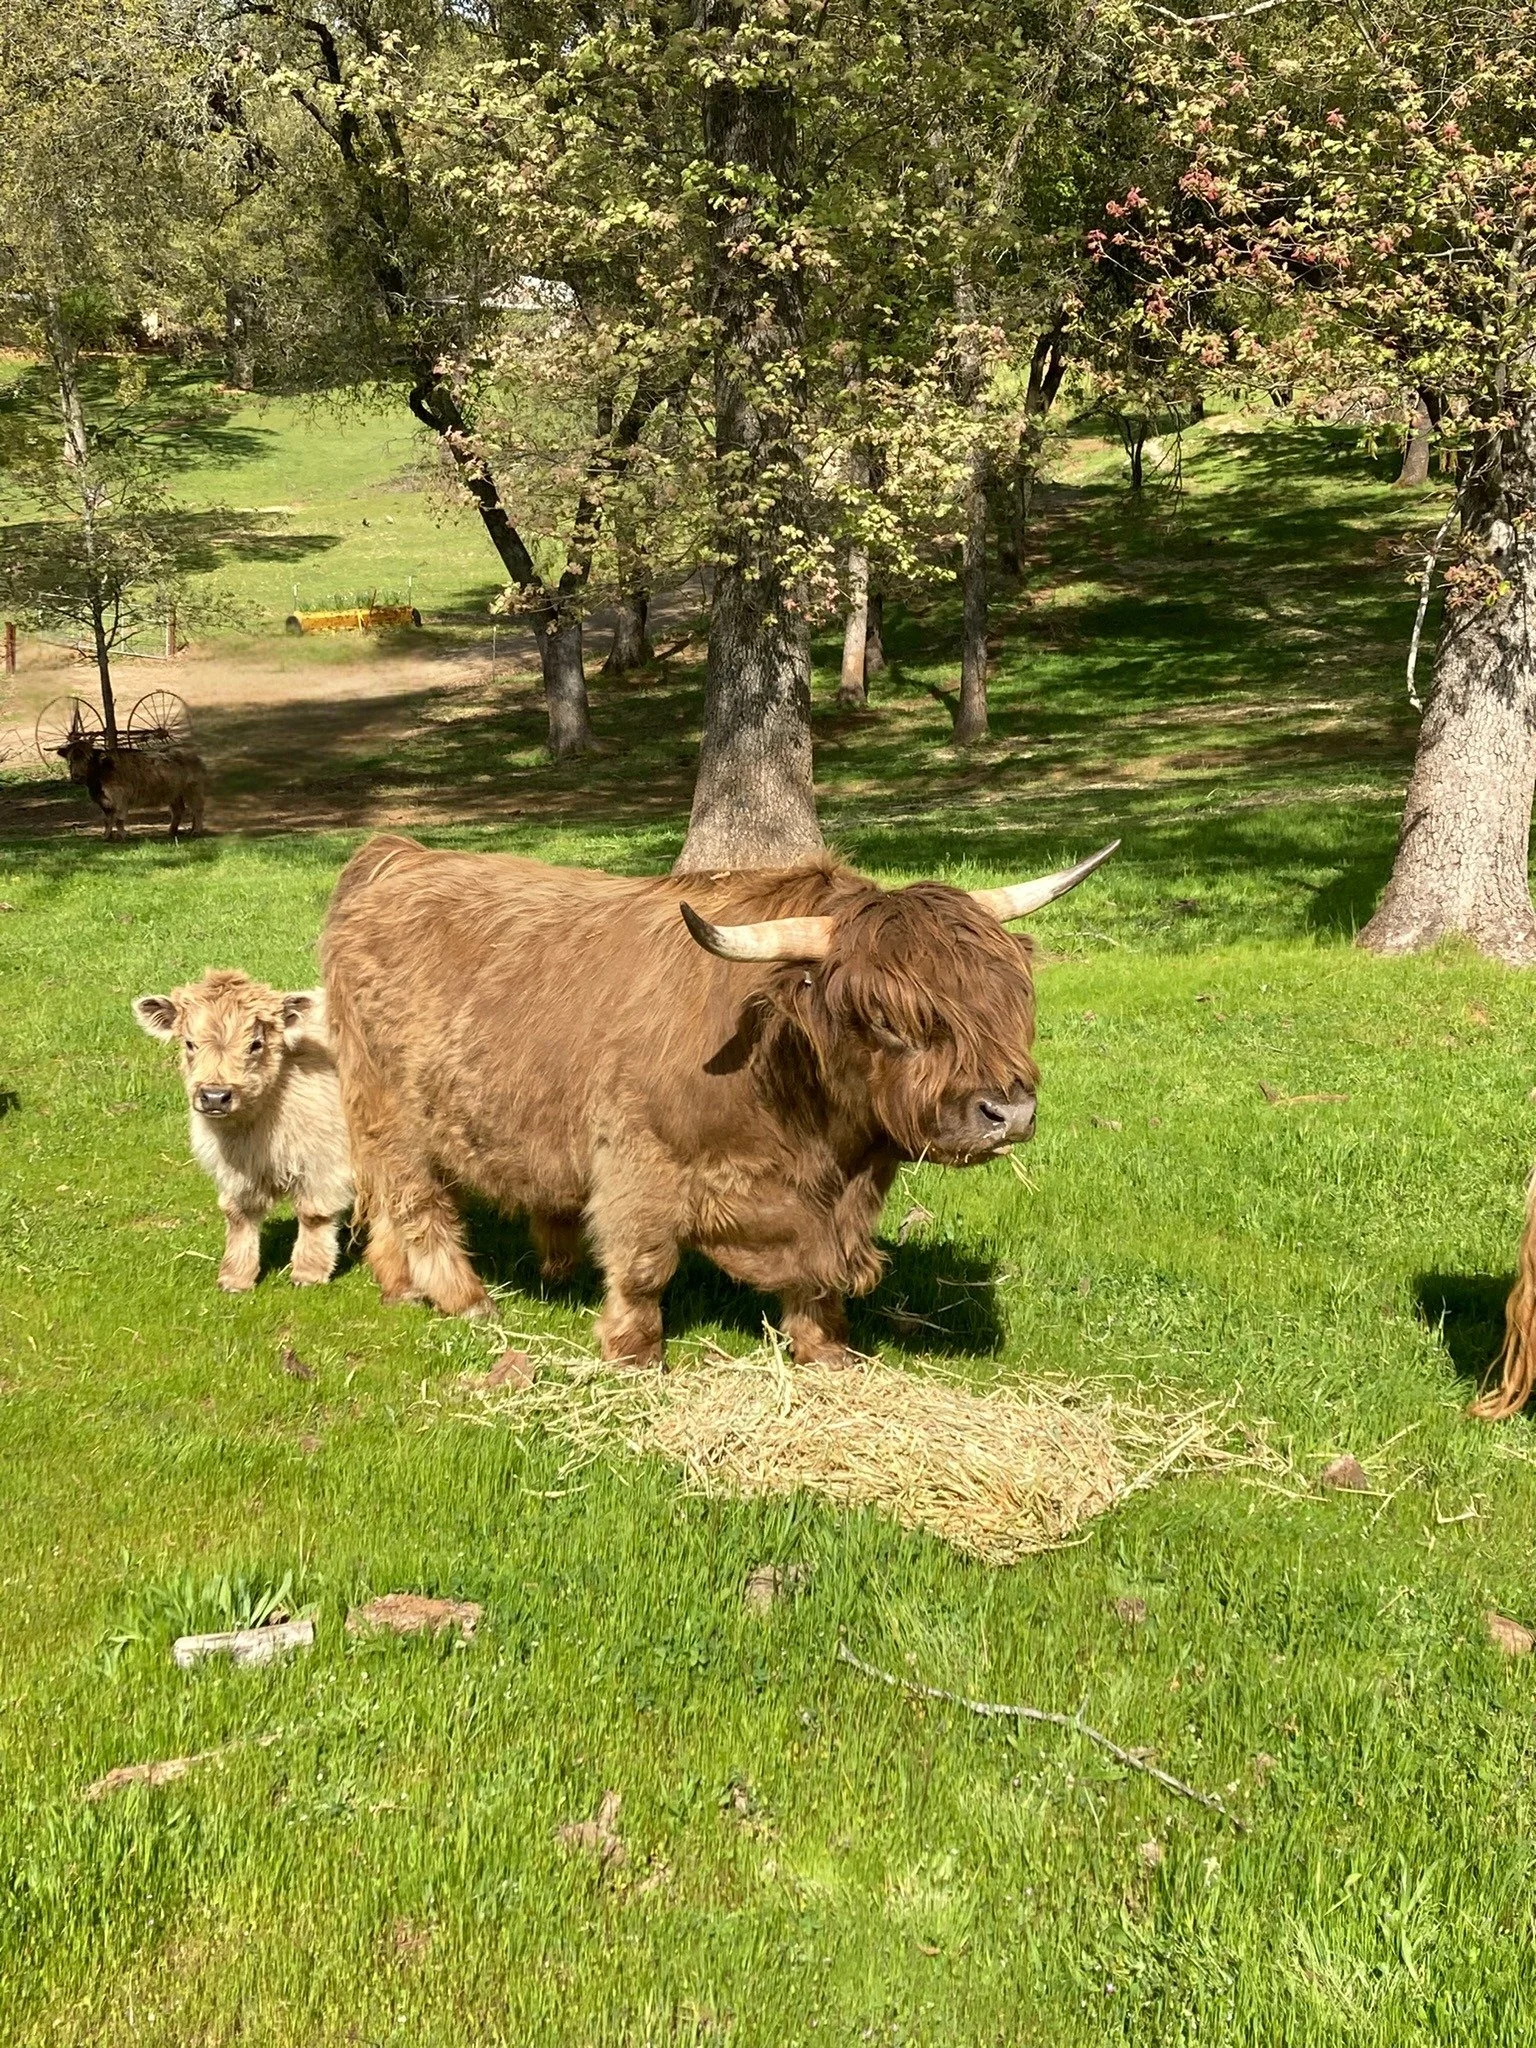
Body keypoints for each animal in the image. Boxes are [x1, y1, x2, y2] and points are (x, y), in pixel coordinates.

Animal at [58, 738, 207, 842]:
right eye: (70, 760)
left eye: (88, 760)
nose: (77, 777)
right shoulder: (104, 802)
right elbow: (107, 820)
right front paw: (106, 836)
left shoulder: (119, 799)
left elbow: (118, 819)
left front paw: (122, 836)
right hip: (174, 793)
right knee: (178, 810)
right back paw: (173, 831)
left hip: (192, 789)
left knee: (197, 809)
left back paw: (196, 831)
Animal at [132, 969, 353, 1292]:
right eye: (189, 1043)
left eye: (255, 1044)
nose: (215, 1096)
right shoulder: (234, 1172)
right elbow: (238, 1215)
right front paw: (235, 1277)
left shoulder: (324, 1161)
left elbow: (314, 1215)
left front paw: (309, 1272)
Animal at [322, 834, 1117, 1366]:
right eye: (888, 1017)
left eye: (1007, 998)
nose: (1008, 1112)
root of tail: (399, 854)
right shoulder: (639, 1165)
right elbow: (644, 1266)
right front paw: (634, 1353)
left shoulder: (829, 1198)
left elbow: (818, 1275)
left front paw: (826, 1350)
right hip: (393, 1111)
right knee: (419, 1203)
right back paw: (464, 1298)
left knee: (387, 1202)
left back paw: (398, 1285)